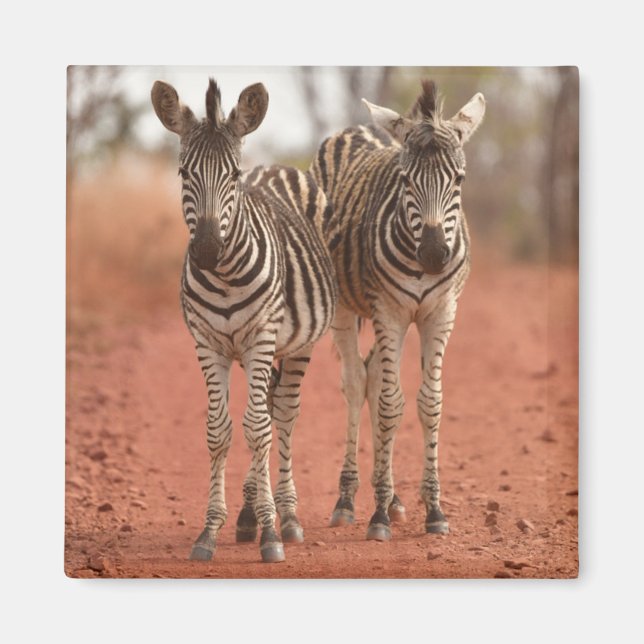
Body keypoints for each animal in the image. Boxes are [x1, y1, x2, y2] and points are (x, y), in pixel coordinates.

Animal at [151, 78, 336, 563]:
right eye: (183, 174)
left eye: (233, 176)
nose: (206, 250)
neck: (226, 276)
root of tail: (273, 167)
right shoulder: (207, 343)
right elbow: (220, 431)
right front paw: (210, 530)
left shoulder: (260, 338)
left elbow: (257, 429)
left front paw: (272, 534)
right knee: (268, 410)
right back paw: (250, 514)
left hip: (296, 344)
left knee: (282, 414)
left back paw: (285, 516)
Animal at [310, 79, 485, 540]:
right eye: (405, 179)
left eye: (459, 179)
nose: (434, 254)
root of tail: (354, 129)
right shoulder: (388, 310)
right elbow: (391, 404)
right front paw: (378, 516)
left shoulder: (440, 312)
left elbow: (429, 403)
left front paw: (433, 509)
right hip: (346, 308)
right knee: (357, 383)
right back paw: (349, 499)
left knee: (373, 376)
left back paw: (390, 495)